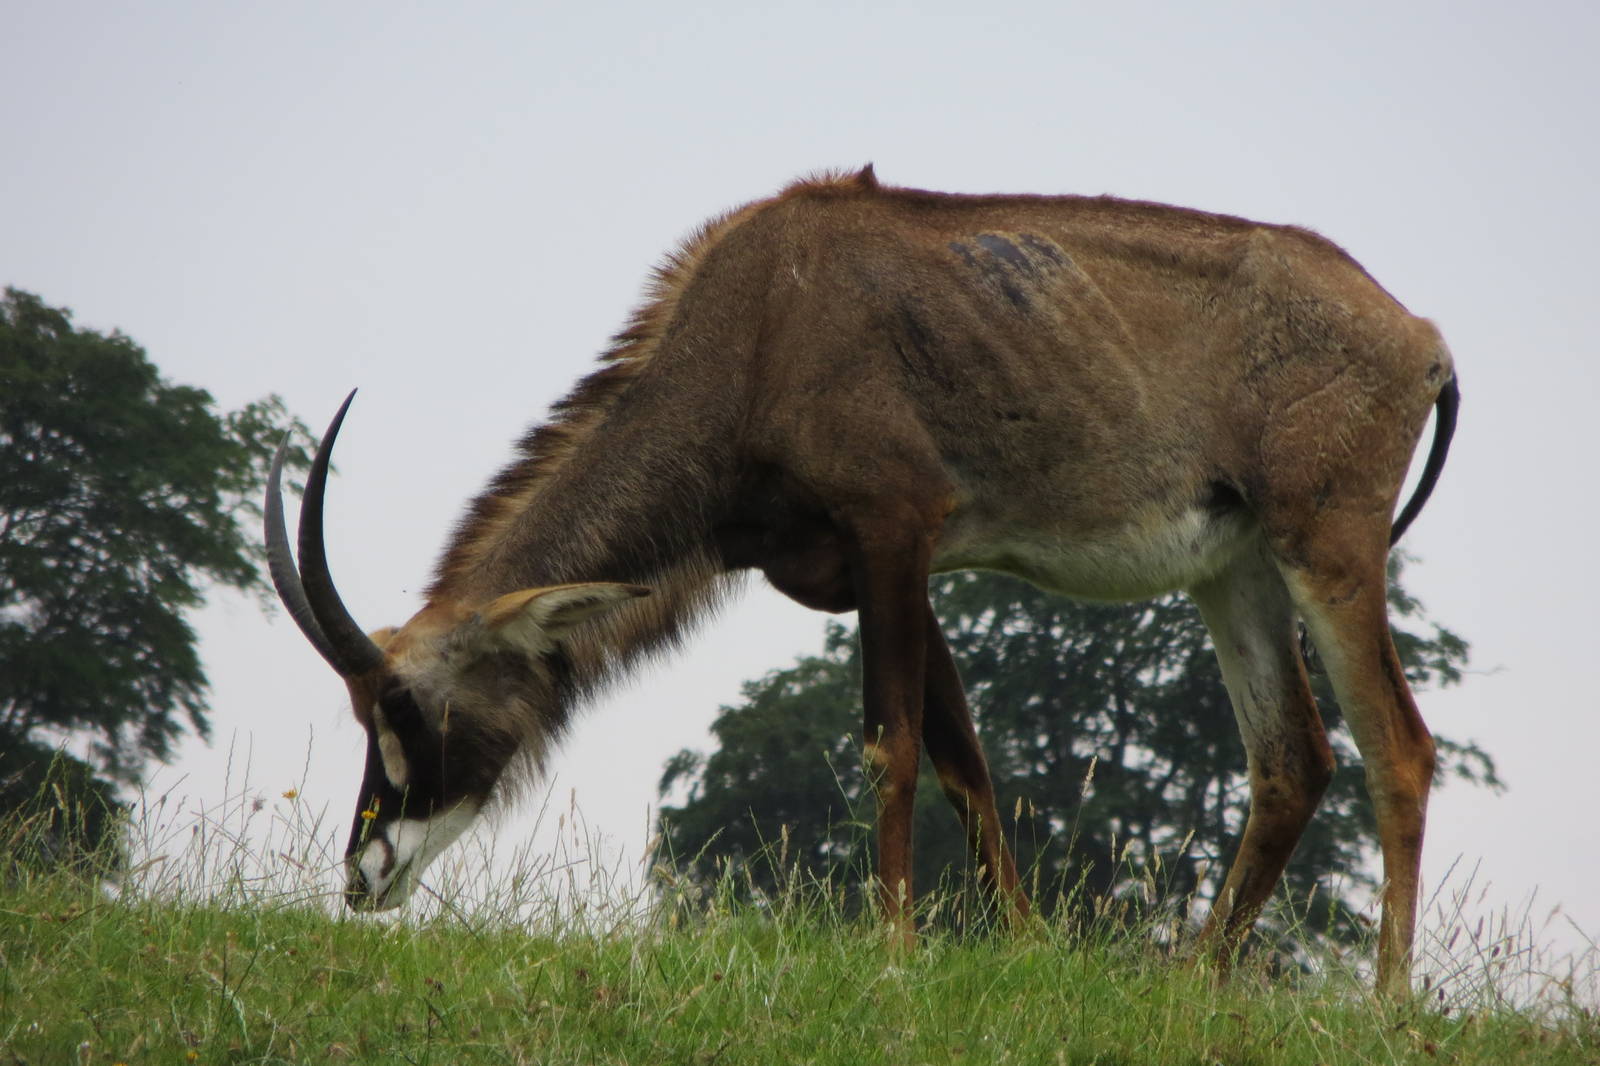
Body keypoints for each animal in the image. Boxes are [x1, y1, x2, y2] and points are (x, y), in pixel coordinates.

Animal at [267, 166, 1458, 996]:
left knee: (1397, 745)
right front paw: (1022, 951)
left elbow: (891, 748)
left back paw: (1387, 1004)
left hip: (1329, 545)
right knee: (1292, 759)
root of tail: (1420, 336)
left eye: (409, 707)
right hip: (1236, 568)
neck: (755, 330)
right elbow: (963, 760)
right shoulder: (894, 569)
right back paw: (1195, 981)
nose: (364, 873)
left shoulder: (893, 530)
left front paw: (894, 953)